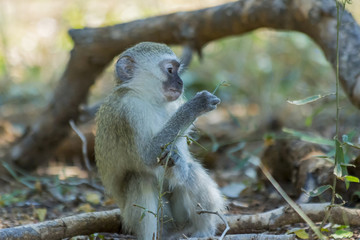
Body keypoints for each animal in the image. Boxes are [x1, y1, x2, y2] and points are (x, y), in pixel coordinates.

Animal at [95, 42, 225, 239]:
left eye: (177, 70)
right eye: (170, 70)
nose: (180, 83)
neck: (147, 98)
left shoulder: (172, 105)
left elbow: (177, 163)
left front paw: (177, 163)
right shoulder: (129, 110)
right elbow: (149, 156)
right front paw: (195, 106)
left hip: (180, 219)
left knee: (190, 171)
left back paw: (203, 230)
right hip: (143, 219)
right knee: (139, 178)